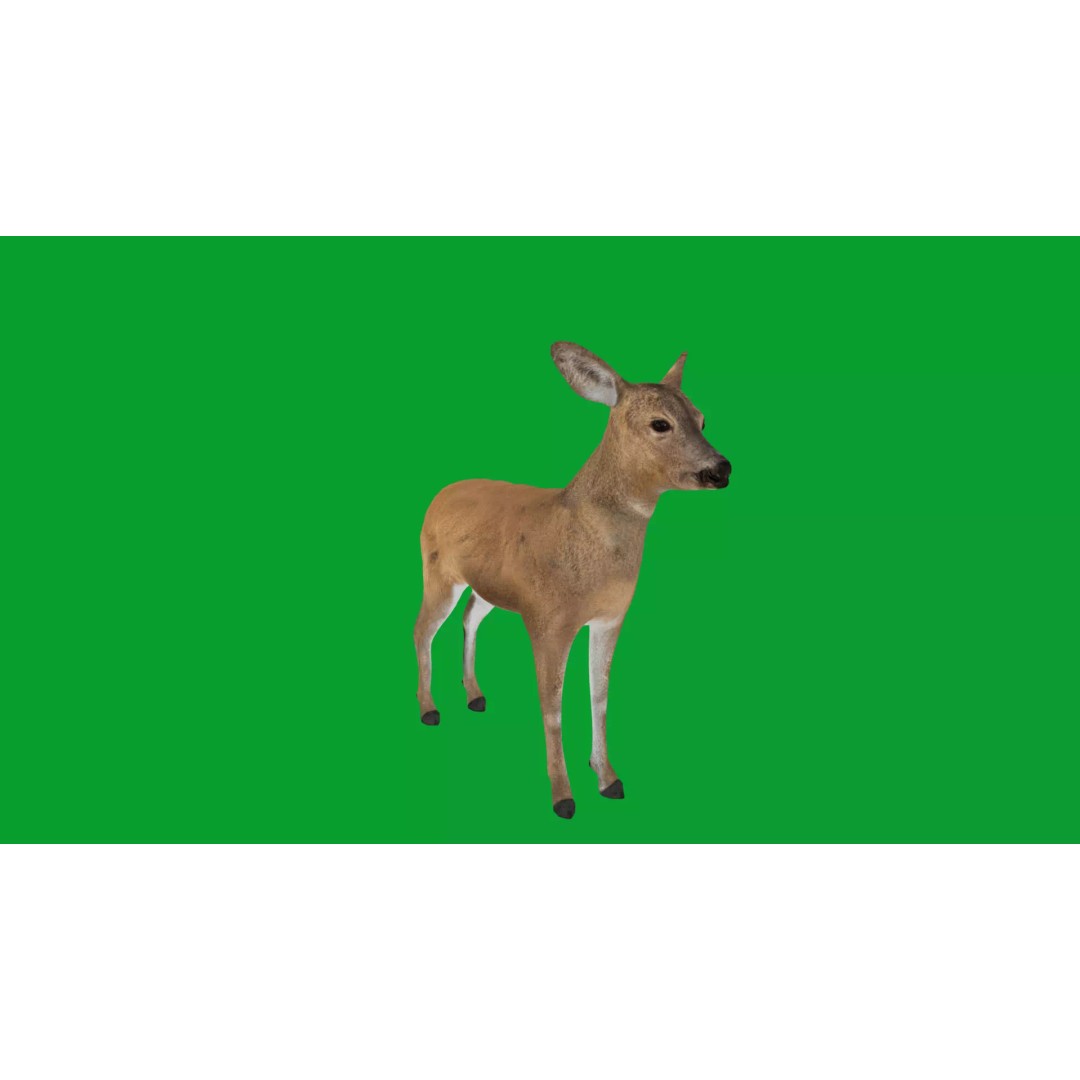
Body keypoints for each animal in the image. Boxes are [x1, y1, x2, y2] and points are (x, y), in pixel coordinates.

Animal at [414, 342, 732, 818]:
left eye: (702, 418)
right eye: (661, 423)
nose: (721, 469)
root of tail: (439, 494)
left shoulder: (610, 617)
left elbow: (599, 696)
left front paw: (609, 778)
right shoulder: (548, 618)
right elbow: (552, 705)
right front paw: (563, 797)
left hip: (488, 587)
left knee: (470, 617)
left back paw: (475, 696)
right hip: (437, 570)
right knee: (422, 629)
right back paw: (430, 709)